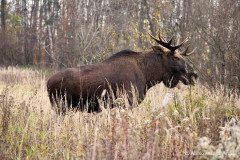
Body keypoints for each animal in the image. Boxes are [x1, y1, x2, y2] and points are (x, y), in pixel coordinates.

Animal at [47, 31, 197, 113]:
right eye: (176, 57)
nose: (193, 75)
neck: (147, 76)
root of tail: (47, 83)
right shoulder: (127, 102)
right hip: (61, 106)